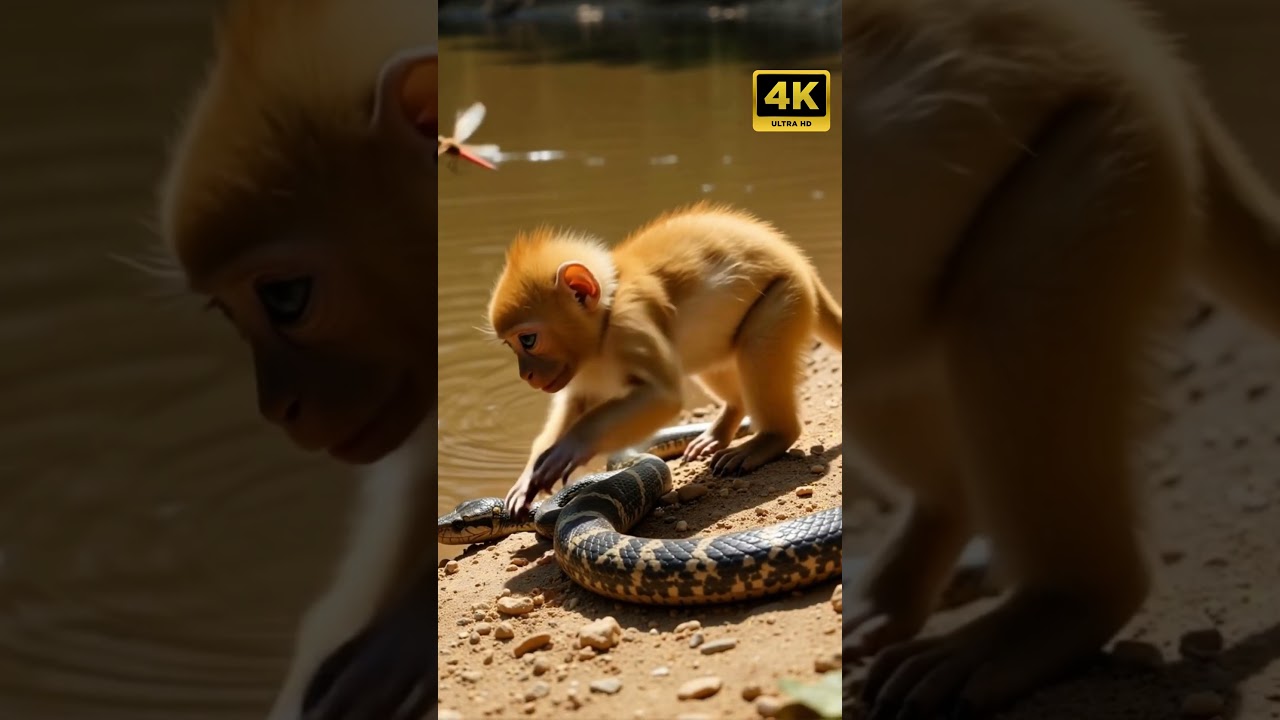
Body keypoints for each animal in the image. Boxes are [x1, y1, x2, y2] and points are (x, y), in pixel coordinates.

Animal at [486, 202, 843, 517]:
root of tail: (801, 265)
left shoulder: (631, 324)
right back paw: (725, 424)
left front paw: (570, 446)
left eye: (528, 340)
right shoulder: (580, 370)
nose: (526, 375)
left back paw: (770, 439)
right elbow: (576, 403)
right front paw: (528, 477)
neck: (606, 320)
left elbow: (664, 397)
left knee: (758, 345)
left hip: (786, 297)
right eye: (510, 345)